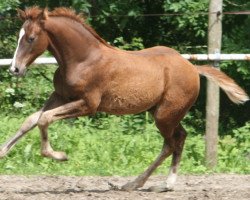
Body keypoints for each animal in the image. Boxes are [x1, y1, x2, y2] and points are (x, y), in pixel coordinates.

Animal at [0, 7, 249, 192]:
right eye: (20, 37)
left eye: (31, 38)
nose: (14, 69)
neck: (83, 59)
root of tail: (192, 67)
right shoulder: (60, 96)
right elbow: (32, 119)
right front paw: (3, 151)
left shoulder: (88, 105)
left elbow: (45, 119)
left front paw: (58, 155)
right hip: (160, 112)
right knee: (179, 138)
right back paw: (145, 183)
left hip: (165, 115)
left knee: (172, 143)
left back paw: (150, 184)